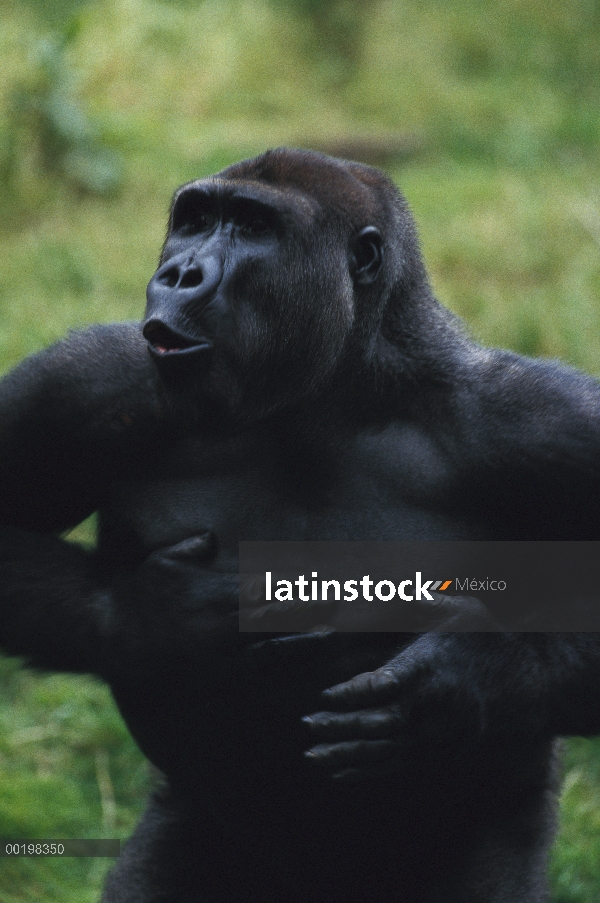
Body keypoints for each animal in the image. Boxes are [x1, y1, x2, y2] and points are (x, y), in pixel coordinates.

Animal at [0, 150, 600, 903]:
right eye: (194, 220)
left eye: (253, 227)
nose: (180, 273)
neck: (329, 396)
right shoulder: (90, 383)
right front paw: (156, 611)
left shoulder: (537, 419)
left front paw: (468, 676)